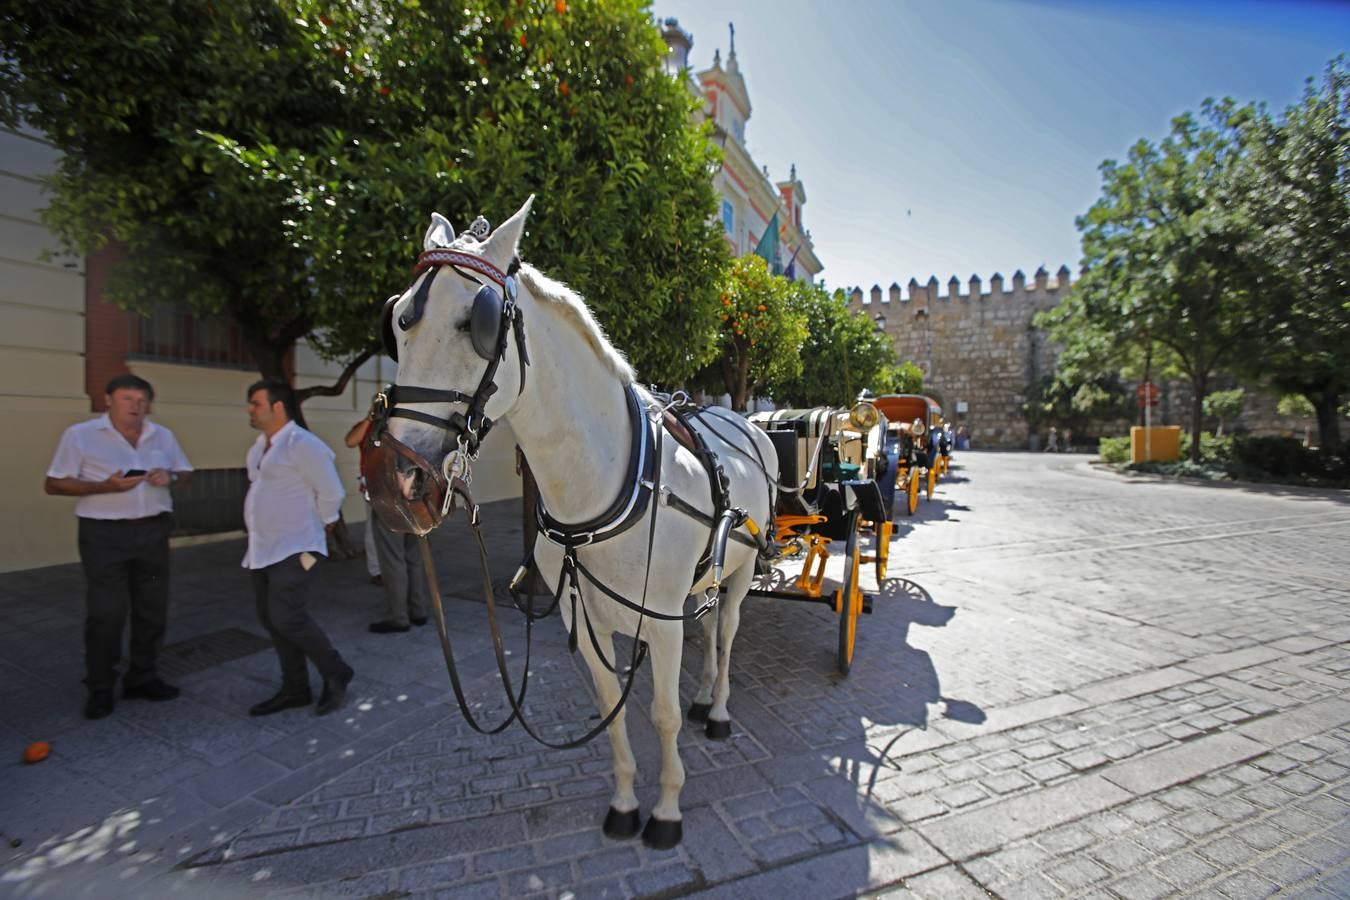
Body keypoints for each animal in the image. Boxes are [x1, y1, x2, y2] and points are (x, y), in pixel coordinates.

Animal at [375, 194, 783, 847]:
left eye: (477, 322)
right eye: (397, 320)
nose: (397, 479)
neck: (601, 489)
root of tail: (742, 419)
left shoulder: (659, 620)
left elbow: (661, 714)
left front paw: (667, 810)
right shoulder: (583, 617)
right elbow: (613, 708)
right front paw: (624, 802)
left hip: (743, 570)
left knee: (726, 632)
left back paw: (716, 708)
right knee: (708, 629)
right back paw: (702, 696)